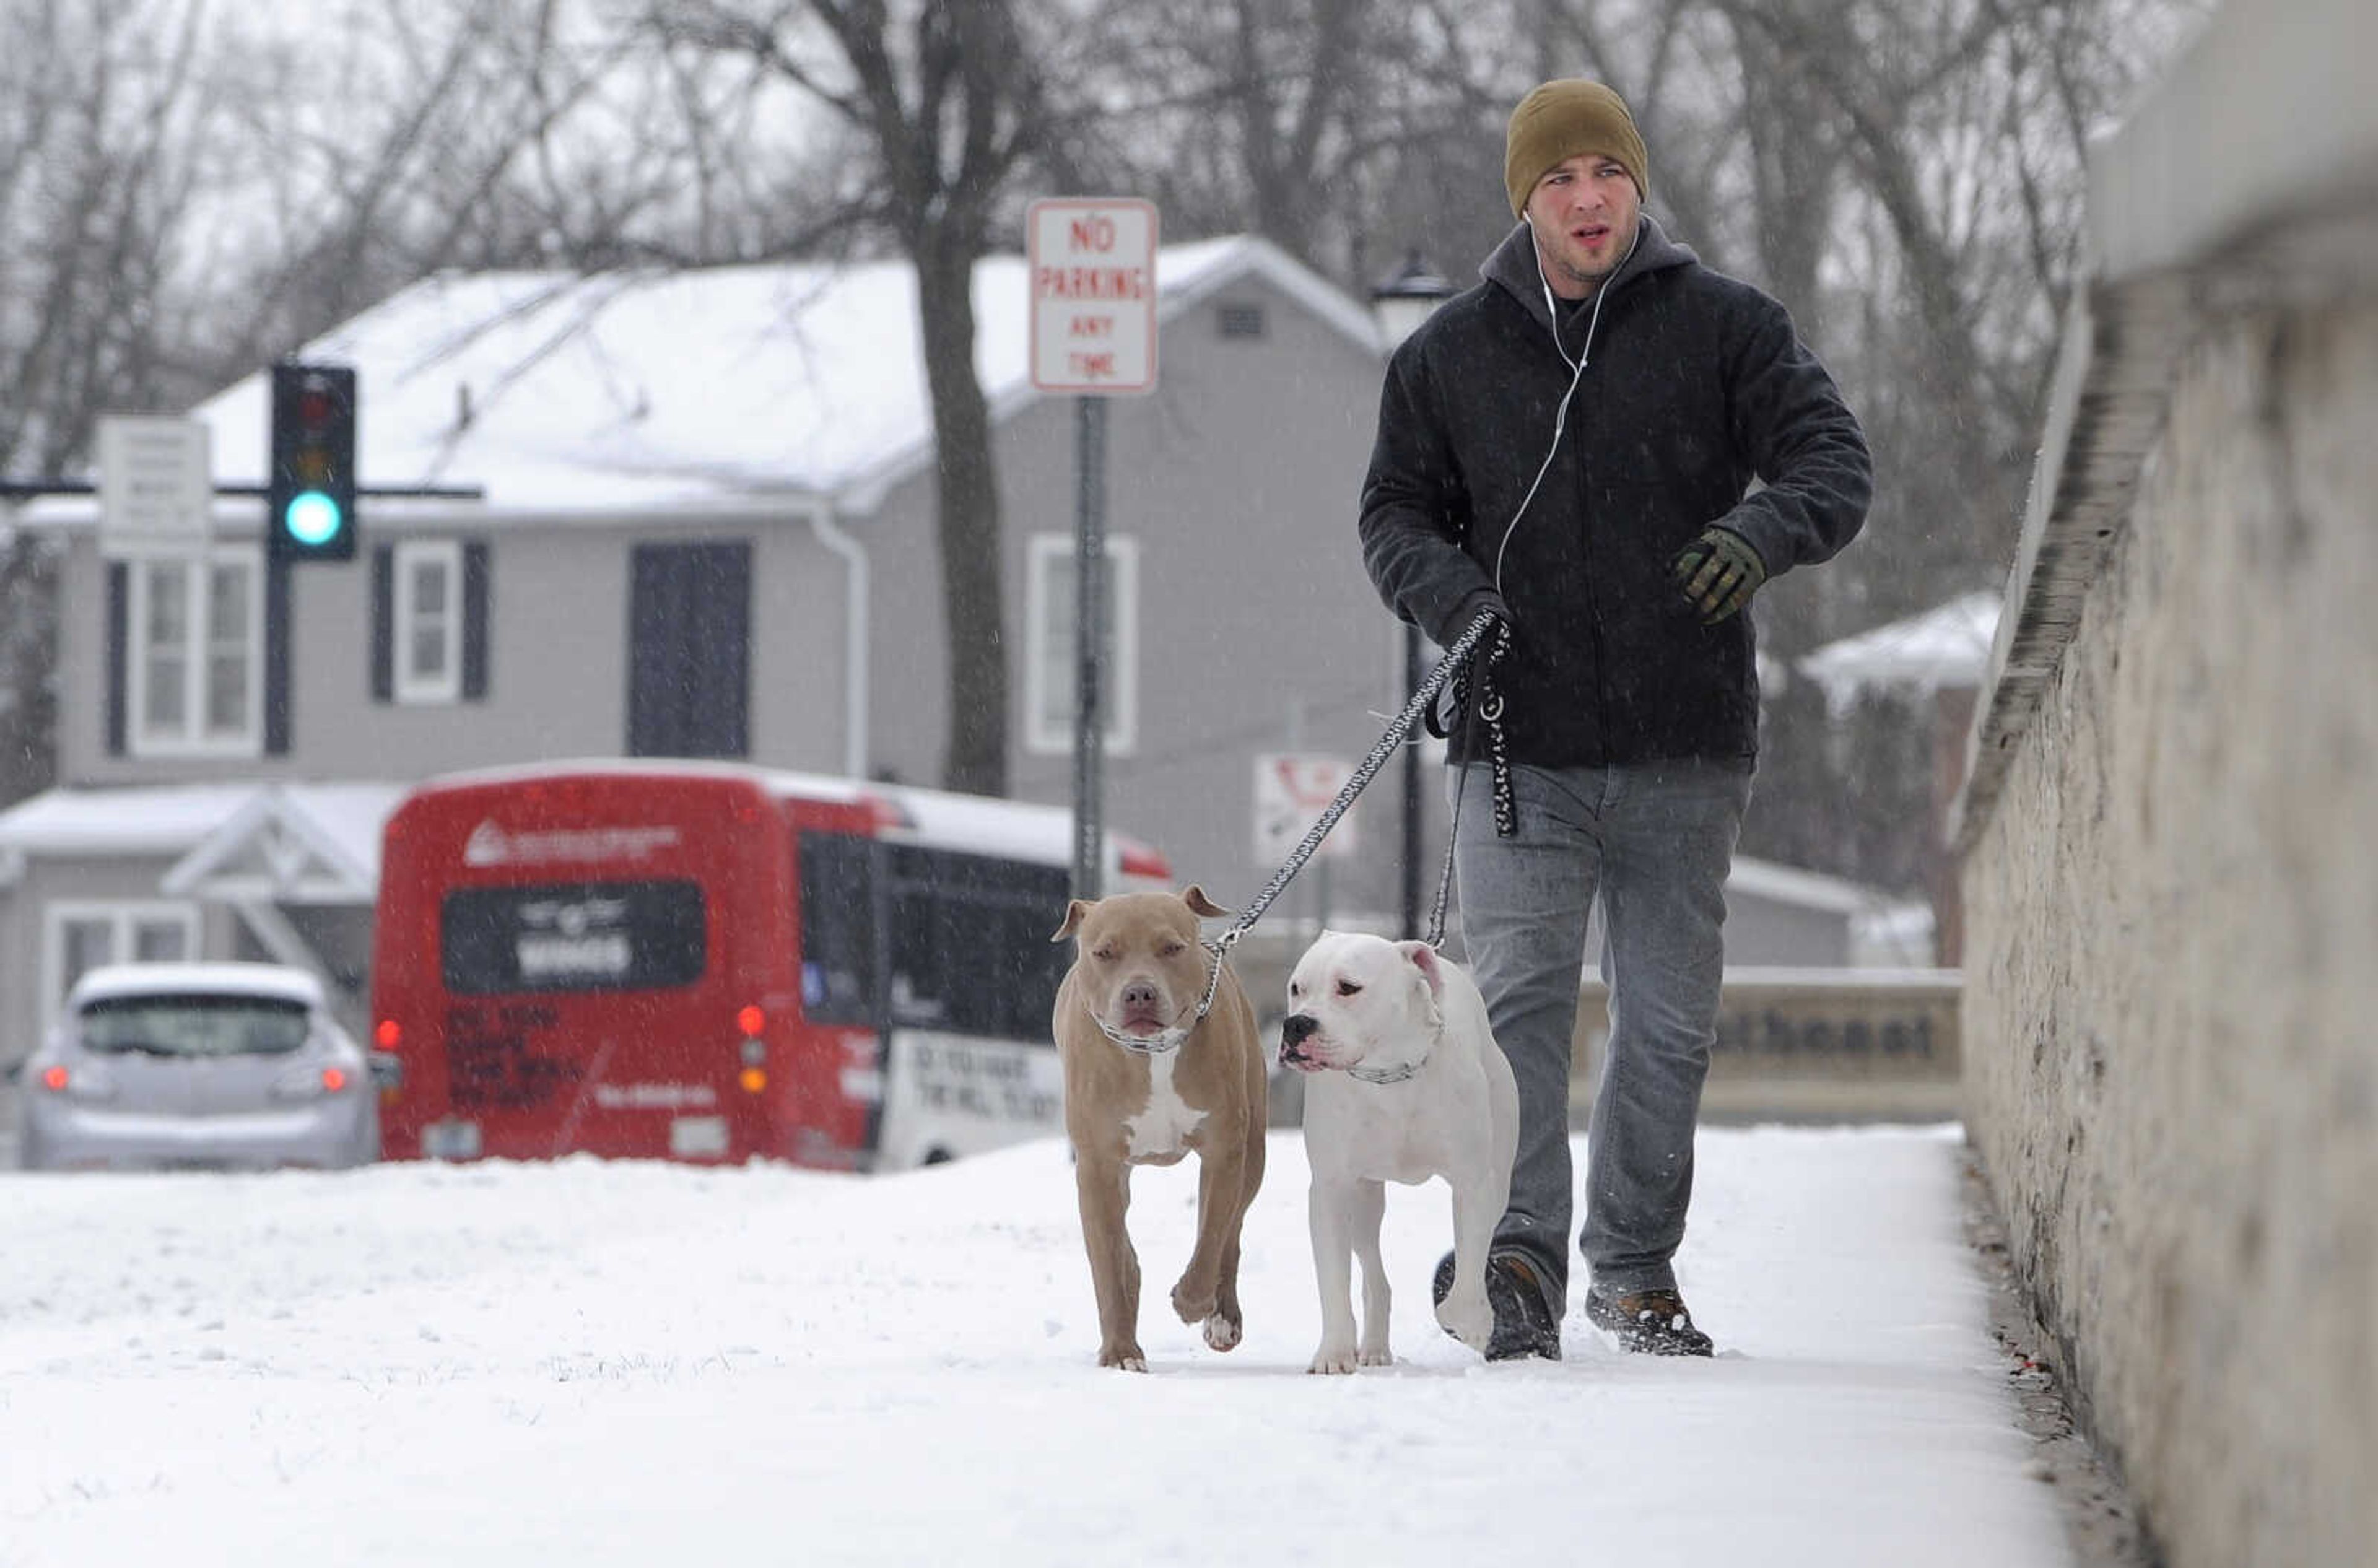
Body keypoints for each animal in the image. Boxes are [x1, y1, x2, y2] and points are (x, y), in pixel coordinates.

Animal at [1046, 885, 1265, 1370]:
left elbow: (1213, 1234)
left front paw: (1192, 1300)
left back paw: (1222, 1317)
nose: (1140, 993)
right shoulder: (1098, 1167)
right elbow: (1108, 1261)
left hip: (1254, 1150)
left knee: (1231, 1232)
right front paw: (1120, 1354)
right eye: (1105, 952)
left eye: (1171, 948)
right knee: (1124, 1252)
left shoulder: (1224, 1150)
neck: (1154, 1053)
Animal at [1284, 933, 1522, 1370]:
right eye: (1297, 988)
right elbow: (1333, 1280)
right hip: (1363, 1200)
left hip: (1499, 1181)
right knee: (1373, 1273)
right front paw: (1334, 1353)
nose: (1296, 1024)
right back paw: (1375, 1348)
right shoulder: (1331, 1189)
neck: (1389, 1074)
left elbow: (1469, 1265)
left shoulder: (1474, 1185)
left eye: (1348, 987)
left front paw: (1470, 1321)